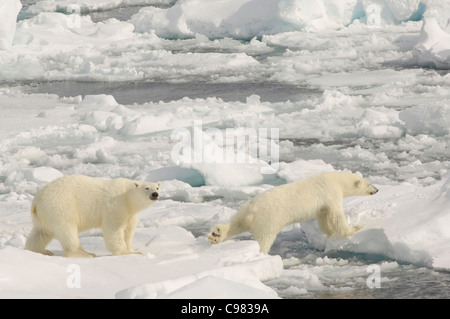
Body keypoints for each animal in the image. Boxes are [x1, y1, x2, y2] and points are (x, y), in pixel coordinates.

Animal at [25, 176, 161, 258]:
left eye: (157, 187)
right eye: (146, 188)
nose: (155, 194)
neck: (127, 196)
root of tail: (36, 201)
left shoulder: (130, 214)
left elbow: (128, 232)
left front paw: (133, 250)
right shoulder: (115, 207)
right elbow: (114, 230)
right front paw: (125, 252)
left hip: (45, 215)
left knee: (41, 232)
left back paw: (40, 250)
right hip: (61, 206)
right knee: (67, 229)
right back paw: (85, 253)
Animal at [209, 172, 378, 255]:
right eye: (369, 183)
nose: (376, 190)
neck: (336, 179)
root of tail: (255, 209)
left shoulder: (322, 204)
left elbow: (322, 218)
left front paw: (329, 232)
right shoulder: (331, 192)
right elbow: (337, 216)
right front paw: (356, 228)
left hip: (246, 208)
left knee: (237, 222)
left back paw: (216, 234)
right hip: (269, 219)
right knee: (264, 238)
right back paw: (260, 254)